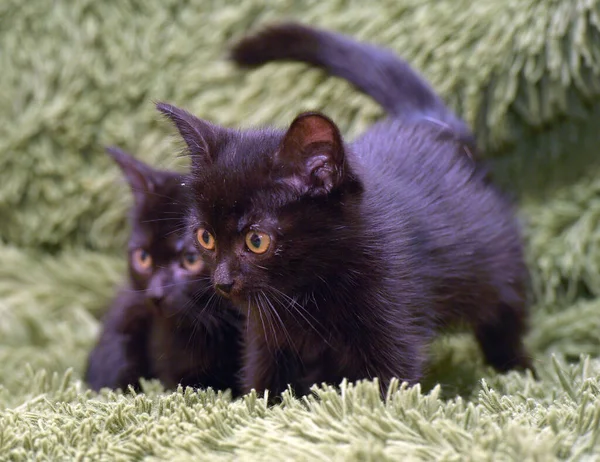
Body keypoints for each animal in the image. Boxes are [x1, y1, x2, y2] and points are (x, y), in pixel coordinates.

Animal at [156, 24, 536, 400]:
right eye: (205, 237)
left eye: (256, 240)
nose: (222, 282)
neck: (307, 290)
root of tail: (431, 124)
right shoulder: (268, 334)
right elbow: (264, 381)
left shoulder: (393, 316)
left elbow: (390, 386)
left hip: (496, 265)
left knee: (504, 314)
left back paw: (516, 368)